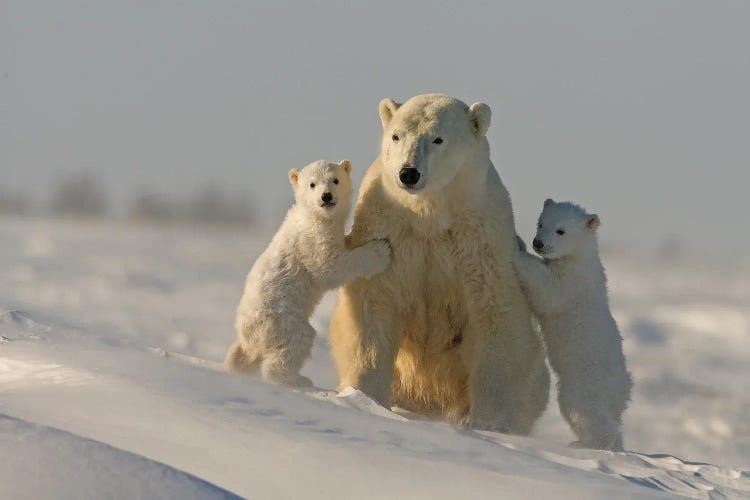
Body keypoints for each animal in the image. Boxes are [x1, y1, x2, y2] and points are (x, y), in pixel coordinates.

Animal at [228, 160, 394, 386]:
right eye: (312, 184)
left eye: (335, 180)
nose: (326, 196)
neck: (313, 216)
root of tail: (246, 336)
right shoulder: (312, 239)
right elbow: (329, 267)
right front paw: (381, 251)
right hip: (281, 319)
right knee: (297, 340)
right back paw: (297, 379)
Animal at [330, 94, 552, 434]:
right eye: (397, 136)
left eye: (437, 138)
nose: (409, 173)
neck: (430, 215)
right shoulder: (389, 230)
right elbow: (373, 302)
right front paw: (364, 398)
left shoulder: (479, 240)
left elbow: (495, 312)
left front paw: (490, 422)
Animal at [516, 198, 632, 450]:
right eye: (541, 223)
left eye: (561, 230)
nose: (538, 243)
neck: (580, 258)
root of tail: (623, 390)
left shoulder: (572, 283)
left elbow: (549, 292)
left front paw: (517, 247)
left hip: (583, 379)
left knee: (582, 410)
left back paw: (585, 444)